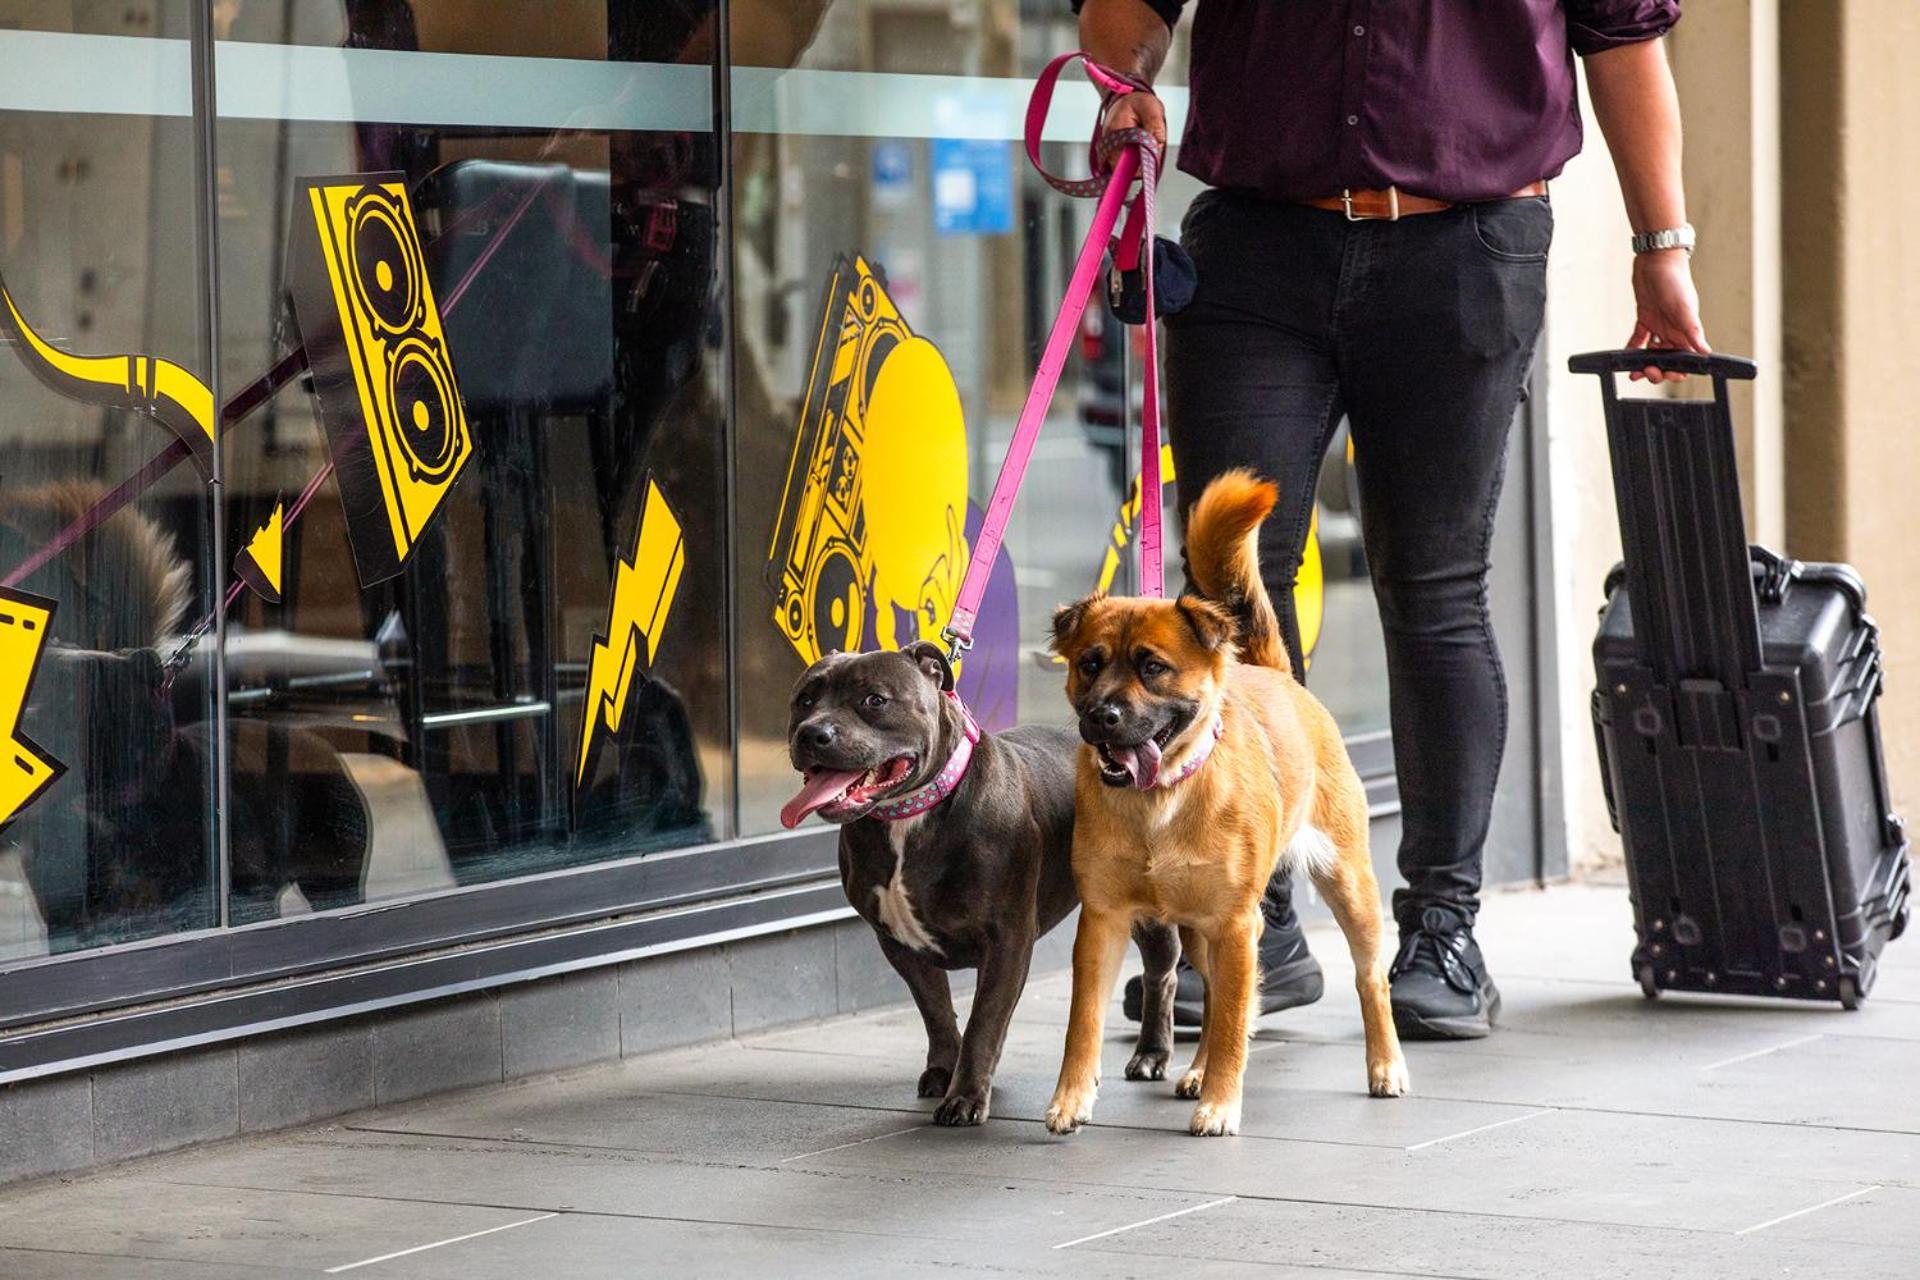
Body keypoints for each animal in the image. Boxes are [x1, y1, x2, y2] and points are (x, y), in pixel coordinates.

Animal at [1044, 474, 1405, 1143]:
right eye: (1089, 664)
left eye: (1152, 667)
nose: (1102, 716)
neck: (1160, 799)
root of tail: (1278, 676)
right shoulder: (1104, 922)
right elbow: (1084, 1023)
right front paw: (1072, 1097)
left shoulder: (1236, 924)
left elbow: (1238, 1023)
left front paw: (1221, 1103)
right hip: (1197, 927)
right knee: (1214, 995)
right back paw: (1196, 1069)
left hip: (1347, 887)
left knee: (1370, 978)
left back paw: (1386, 1063)